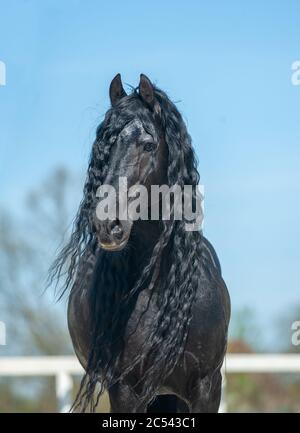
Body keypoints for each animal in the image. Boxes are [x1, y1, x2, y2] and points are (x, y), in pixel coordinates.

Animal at [51, 74, 230, 412]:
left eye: (148, 145)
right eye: (103, 147)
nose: (106, 224)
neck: (159, 287)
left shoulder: (207, 386)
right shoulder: (125, 388)